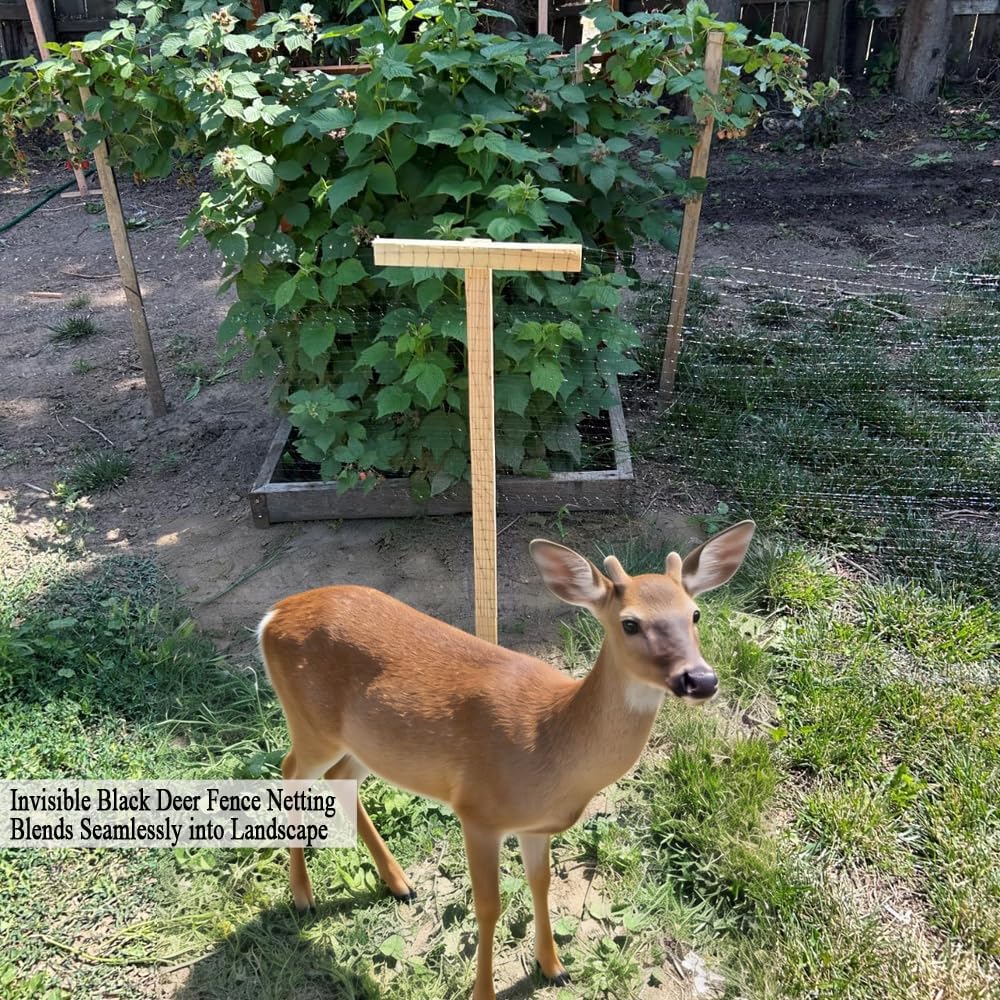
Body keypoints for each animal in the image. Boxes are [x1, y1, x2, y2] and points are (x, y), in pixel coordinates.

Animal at [257, 520, 755, 1000]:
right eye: (630, 623)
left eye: (695, 613)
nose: (700, 680)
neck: (549, 742)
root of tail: (272, 616)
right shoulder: (478, 811)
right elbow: (488, 906)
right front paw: (484, 992)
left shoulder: (535, 827)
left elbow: (542, 884)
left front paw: (554, 967)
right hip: (311, 723)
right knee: (289, 772)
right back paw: (303, 896)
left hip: (364, 744)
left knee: (339, 777)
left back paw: (398, 883)